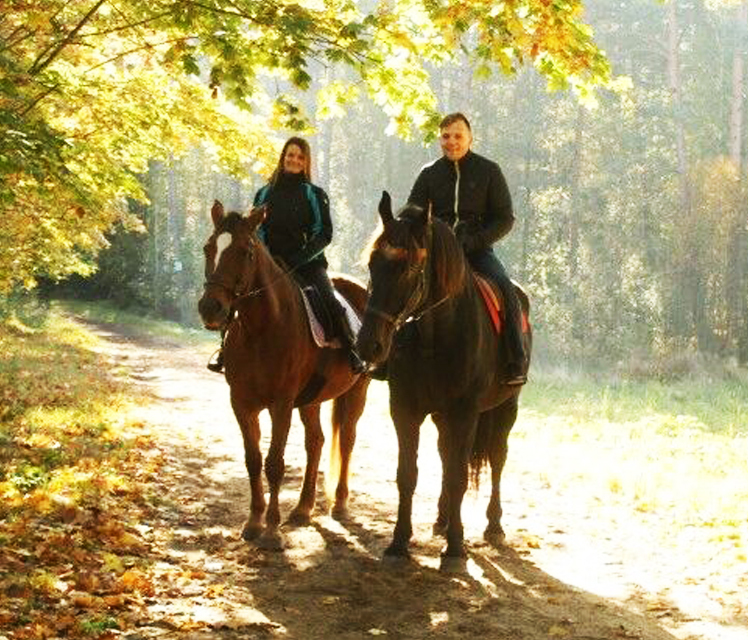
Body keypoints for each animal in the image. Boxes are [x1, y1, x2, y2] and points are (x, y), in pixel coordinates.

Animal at [197, 202, 370, 548]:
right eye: (209, 247)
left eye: (245, 251)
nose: (210, 308)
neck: (261, 328)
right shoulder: (242, 403)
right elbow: (253, 460)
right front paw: (253, 522)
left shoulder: (281, 404)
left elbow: (275, 463)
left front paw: (272, 531)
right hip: (311, 400)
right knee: (316, 441)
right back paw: (303, 509)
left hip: (357, 390)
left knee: (346, 438)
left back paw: (340, 504)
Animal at [356, 194, 532, 568]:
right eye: (373, 264)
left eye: (409, 268)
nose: (369, 346)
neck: (436, 336)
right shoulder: (405, 410)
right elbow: (408, 475)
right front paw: (399, 543)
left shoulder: (464, 413)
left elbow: (458, 477)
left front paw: (454, 549)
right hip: (442, 416)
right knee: (445, 454)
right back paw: (442, 518)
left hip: (506, 407)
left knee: (497, 457)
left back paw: (493, 526)